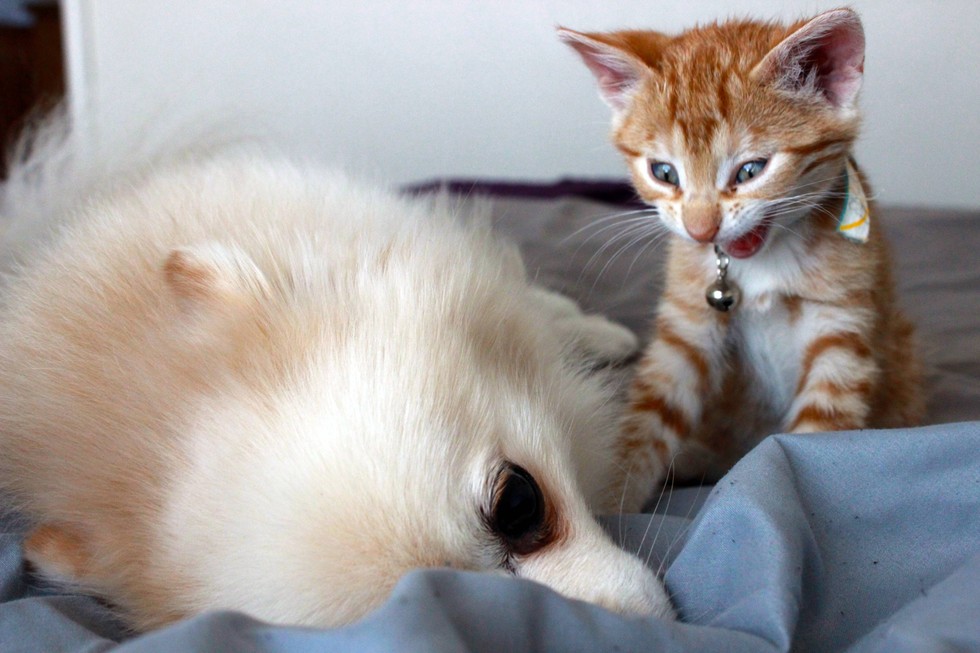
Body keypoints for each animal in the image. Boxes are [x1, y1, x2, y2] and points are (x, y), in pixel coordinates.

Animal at [564, 11, 924, 510]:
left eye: (751, 170)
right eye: (664, 173)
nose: (701, 229)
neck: (763, 267)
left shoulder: (841, 326)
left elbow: (817, 433)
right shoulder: (687, 324)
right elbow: (648, 416)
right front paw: (609, 504)